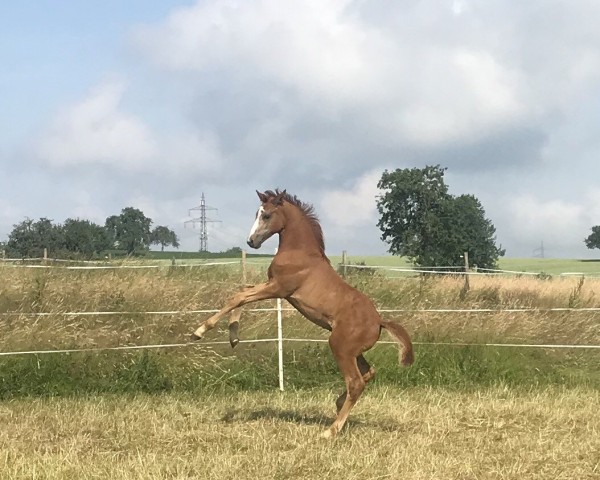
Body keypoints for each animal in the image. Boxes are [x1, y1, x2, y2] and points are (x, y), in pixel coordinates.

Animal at [192, 189, 412, 436]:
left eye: (266, 215)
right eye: (256, 214)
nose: (252, 241)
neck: (299, 252)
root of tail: (379, 321)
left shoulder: (279, 288)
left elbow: (238, 296)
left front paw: (200, 331)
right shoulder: (272, 285)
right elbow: (243, 291)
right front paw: (233, 337)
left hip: (340, 347)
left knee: (356, 382)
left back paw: (331, 430)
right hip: (354, 352)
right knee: (368, 373)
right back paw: (338, 405)